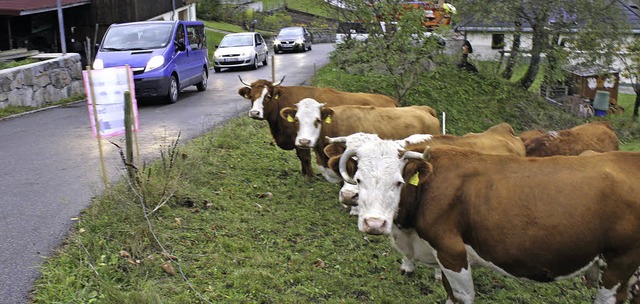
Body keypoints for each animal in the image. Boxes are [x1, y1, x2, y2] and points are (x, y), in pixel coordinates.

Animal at [238, 76, 398, 178]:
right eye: (251, 96)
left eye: (267, 96)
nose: (254, 113)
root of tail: (390, 99)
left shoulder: (301, 140)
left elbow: (305, 157)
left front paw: (309, 177)